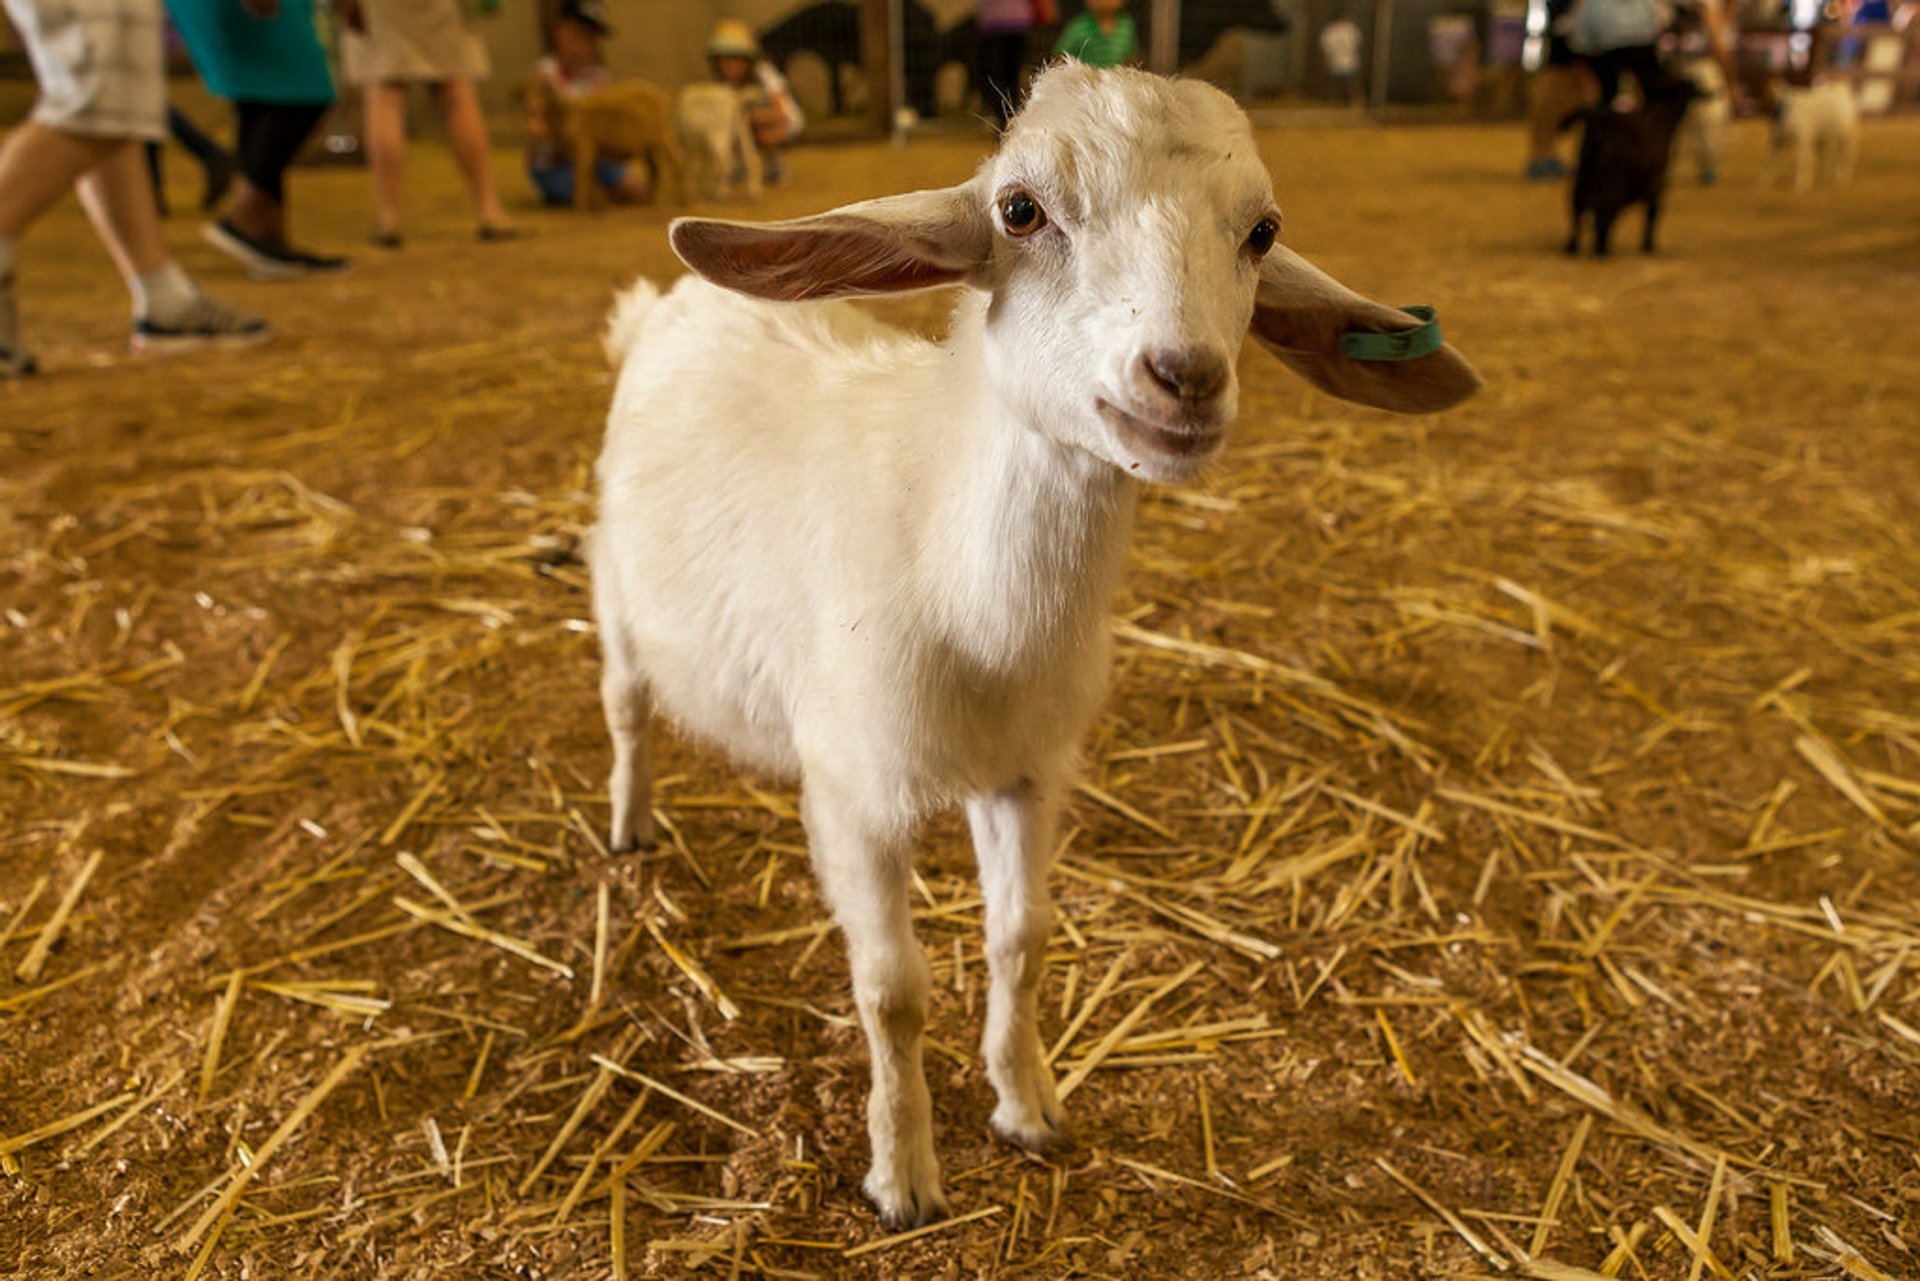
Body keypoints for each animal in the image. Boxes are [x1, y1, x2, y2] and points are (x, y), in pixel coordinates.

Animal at [591, 62, 1474, 1229]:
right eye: (1020, 210)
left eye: (1262, 231)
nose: (1184, 378)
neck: (965, 595)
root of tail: (666, 303)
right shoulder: (857, 791)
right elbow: (892, 990)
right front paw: (903, 1172)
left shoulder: (1027, 773)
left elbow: (1023, 937)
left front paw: (1026, 1105)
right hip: (614, 589)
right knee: (627, 708)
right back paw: (630, 824)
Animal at [1559, 78, 1697, 257]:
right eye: (1690, 88)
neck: (1662, 120)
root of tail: (1595, 117)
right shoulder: (1656, 181)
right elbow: (1652, 212)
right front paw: (1648, 246)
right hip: (1607, 178)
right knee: (1600, 208)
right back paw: (1601, 249)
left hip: (1584, 171)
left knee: (1578, 206)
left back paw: (1574, 246)